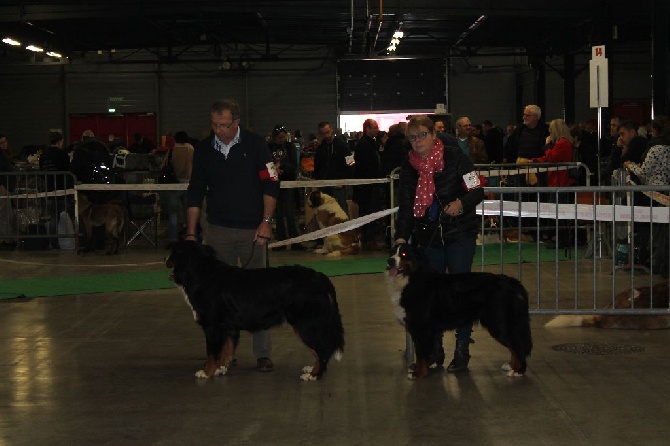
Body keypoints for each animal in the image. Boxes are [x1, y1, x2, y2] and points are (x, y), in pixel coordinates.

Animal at [167, 240, 346, 380]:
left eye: (172, 252)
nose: (164, 259)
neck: (201, 273)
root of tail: (319, 277)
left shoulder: (212, 327)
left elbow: (212, 353)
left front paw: (207, 372)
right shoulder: (228, 328)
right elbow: (225, 350)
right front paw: (220, 369)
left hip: (305, 325)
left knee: (322, 350)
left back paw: (314, 375)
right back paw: (312, 369)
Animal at [388, 244, 536, 380]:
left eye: (404, 254)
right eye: (392, 252)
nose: (389, 261)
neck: (413, 279)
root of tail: (514, 282)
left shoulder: (422, 328)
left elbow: (421, 353)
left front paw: (419, 373)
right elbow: (427, 351)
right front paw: (421, 366)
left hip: (499, 324)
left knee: (517, 346)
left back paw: (518, 370)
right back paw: (511, 365)